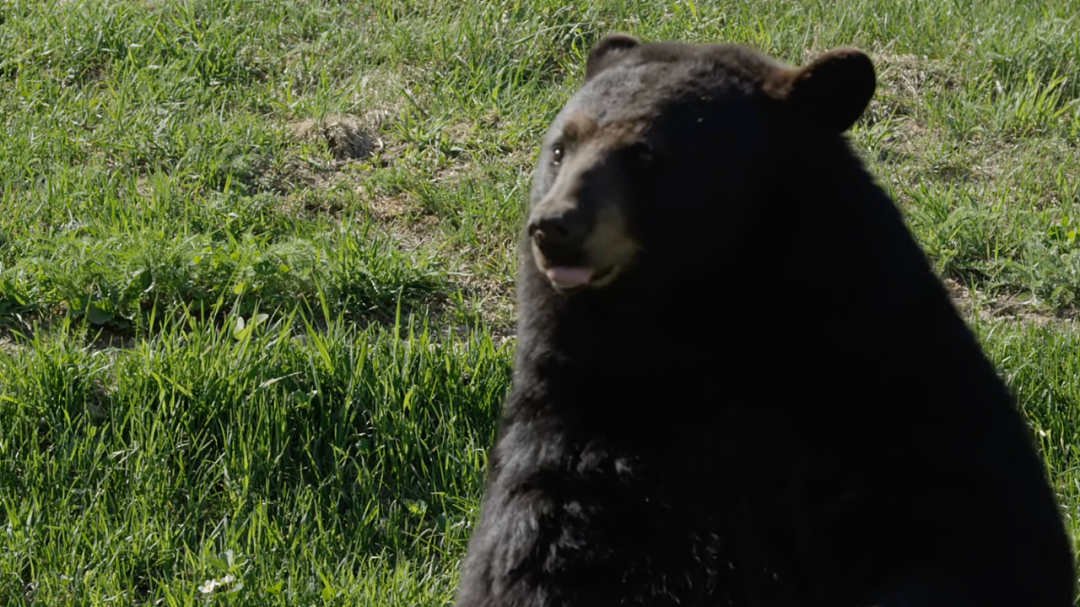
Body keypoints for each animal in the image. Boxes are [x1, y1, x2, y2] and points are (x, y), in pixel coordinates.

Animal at [453, 34, 1076, 607]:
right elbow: (537, 549)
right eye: (561, 148)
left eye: (646, 156)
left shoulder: (894, 390)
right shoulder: (578, 414)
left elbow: (969, 529)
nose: (554, 226)